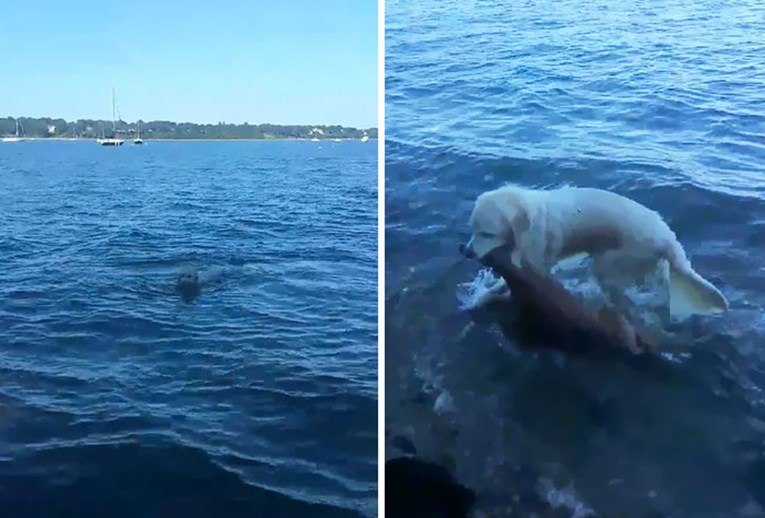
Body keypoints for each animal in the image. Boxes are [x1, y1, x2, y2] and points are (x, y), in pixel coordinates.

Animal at [460, 185, 728, 318]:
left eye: (487, 233)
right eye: (473, 230)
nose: (466, 252)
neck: (528, 221)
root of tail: (668, 239)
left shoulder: (536, 265)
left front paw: (489, 296)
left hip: (607, 263)